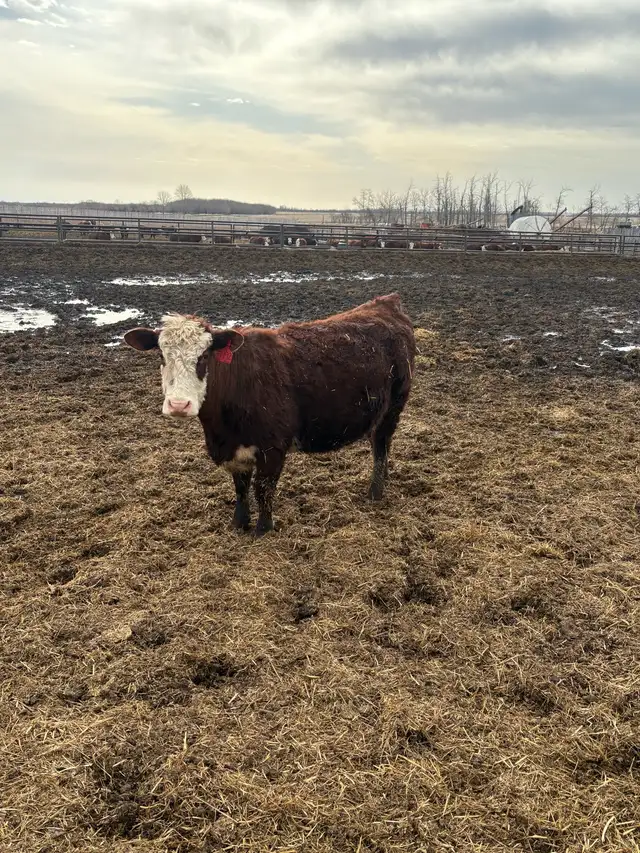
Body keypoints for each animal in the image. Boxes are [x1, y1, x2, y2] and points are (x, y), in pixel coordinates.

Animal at [123, 294, 416, 537]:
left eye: (204, 356)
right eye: (161, 355)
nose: (178, 405)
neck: (221, 429)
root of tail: (386, 303)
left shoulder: (273, 448)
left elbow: (263, 489)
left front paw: (263, 528)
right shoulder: (235, 450)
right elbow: (241, 487)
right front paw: (239, 523)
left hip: (393, 408)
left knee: (381, 446)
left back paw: (375, 491)